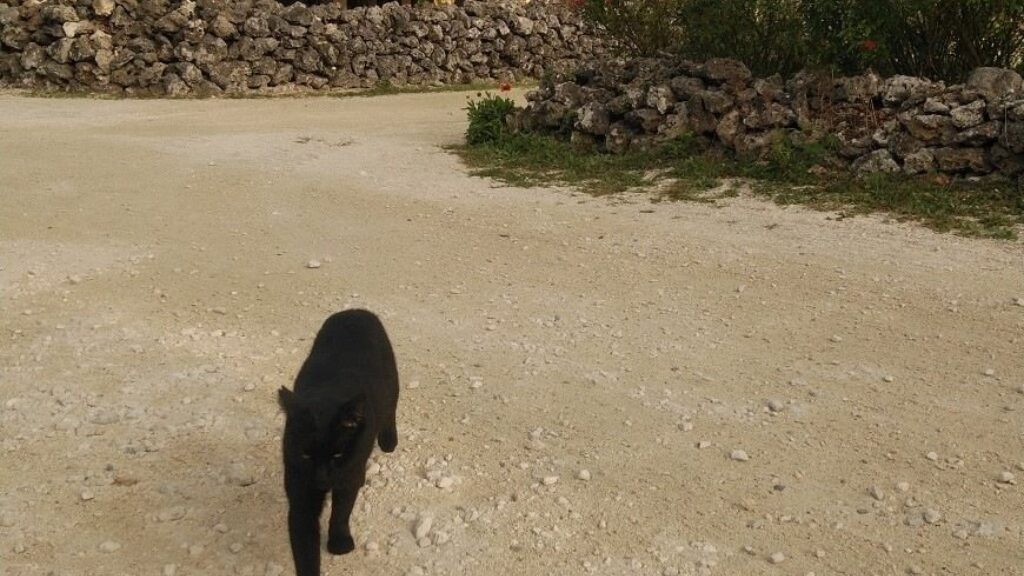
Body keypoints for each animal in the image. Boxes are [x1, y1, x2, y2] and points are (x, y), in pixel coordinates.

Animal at [277, 309, 399, 576]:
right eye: (306, 455)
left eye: (337, 454)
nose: (322, 478)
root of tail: (355, 311)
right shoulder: (301, 489)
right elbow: (304, 544)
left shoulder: (347, 476)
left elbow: (341, 511)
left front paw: (340, 543)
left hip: (391, 383)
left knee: (390, 409)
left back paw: (389, 442)